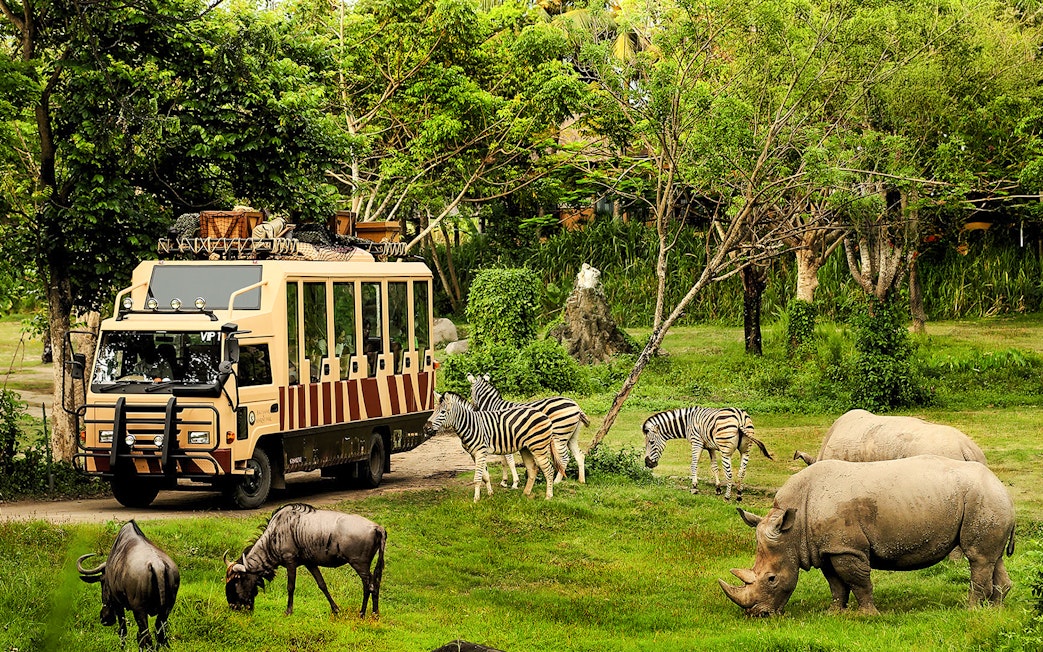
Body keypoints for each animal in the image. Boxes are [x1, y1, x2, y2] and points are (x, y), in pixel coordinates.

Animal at [423, 392, 567, 502]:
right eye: (433, 411)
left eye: (443, 412)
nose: (426, 428)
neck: (470, 425)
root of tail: (544, 415)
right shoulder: (474, 454)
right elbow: (485, 476)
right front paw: (490, 494)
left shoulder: (480, 452)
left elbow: (477, 478)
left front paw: (476, 500)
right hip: (525, 448)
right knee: (533, 469)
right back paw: (525, 494)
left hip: (538, 447)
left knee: (549, 470)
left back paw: (548, 496)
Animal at [642, 407, 772, 502]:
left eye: (651, 442)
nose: (647, 463)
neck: (687, 423)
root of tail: (740, 418)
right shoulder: (711, 447)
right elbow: (714, 467)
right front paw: (718, 488)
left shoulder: (696, 443)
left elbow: (694, 464)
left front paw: (694, 487)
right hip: (746, 450)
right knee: (742, 472)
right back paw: (739, 495)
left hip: (726, 451)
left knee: (729, 473)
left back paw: (727, 497)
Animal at [719, 455, 1014, 617]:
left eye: (771, 579)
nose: (759, 615)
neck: (793, 528)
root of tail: (1002, 487)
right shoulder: (827, 548)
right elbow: (836, 584)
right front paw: (834, 613)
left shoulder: (846, 548)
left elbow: (859, 581)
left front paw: (868, 615)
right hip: (988, 500)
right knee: (993, 559)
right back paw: (994, 611)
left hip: (982, 498)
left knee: (978, 558)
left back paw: (970, 610)